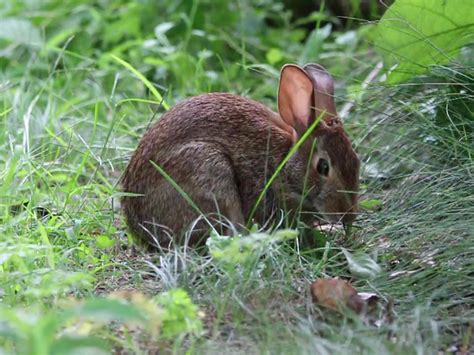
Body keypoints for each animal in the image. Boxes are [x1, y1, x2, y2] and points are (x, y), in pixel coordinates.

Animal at [121, 62, 360, 249]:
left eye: (357, 160)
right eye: (323, 167)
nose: (348, 216)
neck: (284, 165)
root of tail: (139, 228)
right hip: (209, 171)